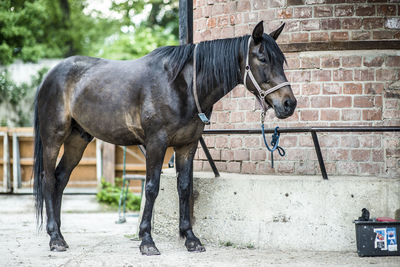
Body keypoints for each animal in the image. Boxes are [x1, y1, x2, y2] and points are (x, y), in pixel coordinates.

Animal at [33, 21, 296, 255]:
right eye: (263, 59)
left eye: (281, 59)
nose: (289, 104)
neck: (181, 85)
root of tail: (49, 76)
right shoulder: (156, 144)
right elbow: (151, 188)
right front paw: (147, 241)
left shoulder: (187, 145)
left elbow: (185, 187)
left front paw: (190, 238)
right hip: (53, 138)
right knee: (48, 179)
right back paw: (54, 238)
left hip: (78, 140)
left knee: (60, 179)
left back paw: (59, 235)